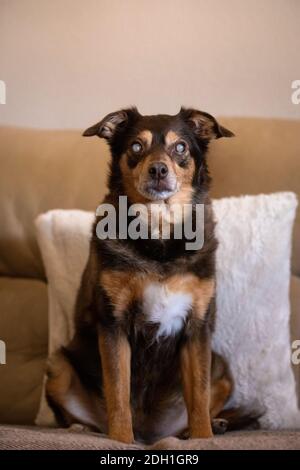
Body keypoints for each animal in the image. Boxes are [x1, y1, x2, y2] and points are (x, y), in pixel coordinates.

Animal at [45, 106, 239, 444]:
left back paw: (212, 426)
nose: (158, 170)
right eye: (136, 146)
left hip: (222, 367)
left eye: (181, 147)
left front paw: (203, 437)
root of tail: (151, 432)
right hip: (57, 366)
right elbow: (118, 393)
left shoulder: (198, 328)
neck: (158, 232)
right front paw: (122, 439)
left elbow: (199, 398)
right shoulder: (114, 324)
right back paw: (82, 427)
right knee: (79, 415)